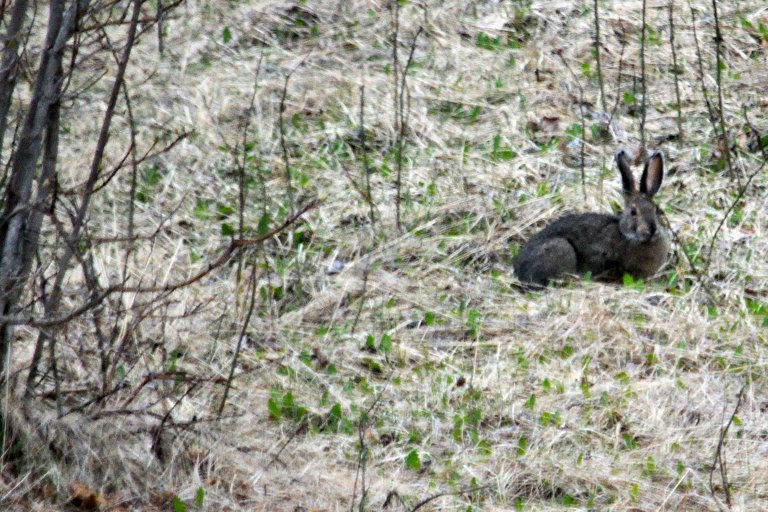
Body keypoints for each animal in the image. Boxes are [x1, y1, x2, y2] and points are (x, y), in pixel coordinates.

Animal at [512, 149, 668, 288]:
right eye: (633, 212)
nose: (652, 229)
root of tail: (519, 272)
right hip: (562, 248)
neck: (628, 236)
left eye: (656, 210)